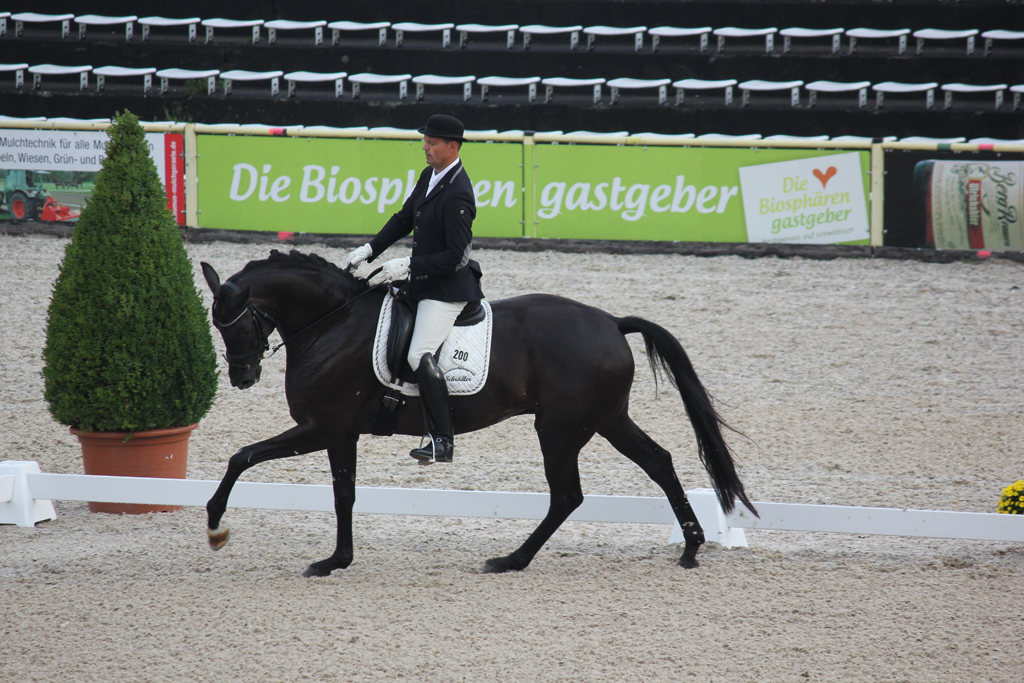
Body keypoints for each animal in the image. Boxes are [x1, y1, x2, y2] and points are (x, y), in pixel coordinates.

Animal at [200, 249, 757, 577]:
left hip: (560, 429)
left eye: (238, 323)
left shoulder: (322, 427)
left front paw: (216, 524)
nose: (242, 376)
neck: (333, 323)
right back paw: (691, 547)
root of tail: (612, 322)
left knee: (567, 495)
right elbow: (342, 494)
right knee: (659, 462)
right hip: (606, 421)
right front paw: (337, 560)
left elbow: (243, 456)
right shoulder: (341, 433)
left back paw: (512, 560)